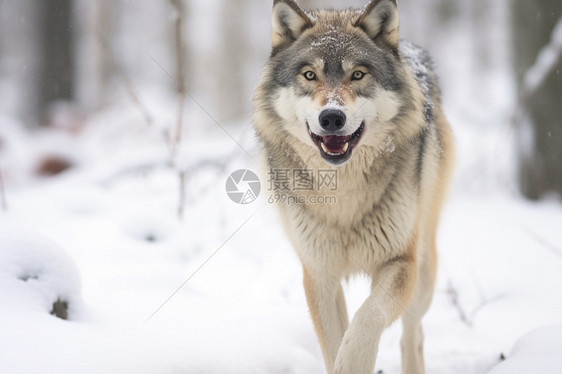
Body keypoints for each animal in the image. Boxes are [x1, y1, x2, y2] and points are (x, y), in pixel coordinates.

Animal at [252, 0, 452, 374]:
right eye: (310, 75)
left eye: (357, 75)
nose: (332, 117)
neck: (342, 196)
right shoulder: (318, 275)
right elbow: (333, 344)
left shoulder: (400, 262)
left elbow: (367, 316)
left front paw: (354, 359)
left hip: (425, 269)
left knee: (412, 334)